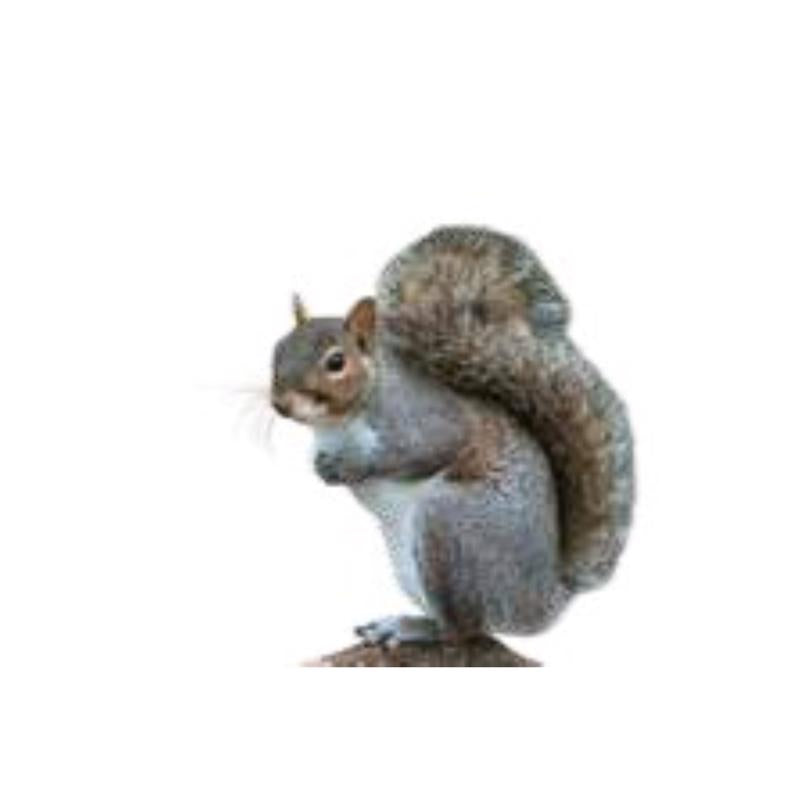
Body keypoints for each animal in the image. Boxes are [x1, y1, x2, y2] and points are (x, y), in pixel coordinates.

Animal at [270, 226, 634, 646]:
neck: (337, 423)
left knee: (462, 629)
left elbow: (434, 446)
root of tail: (543, 601)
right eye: (277, 349)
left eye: (336, 362)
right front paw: (322, 468)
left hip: (448, 528)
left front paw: (352, 466)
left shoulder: (423, 418)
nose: (279, 404)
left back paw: (413, 627)